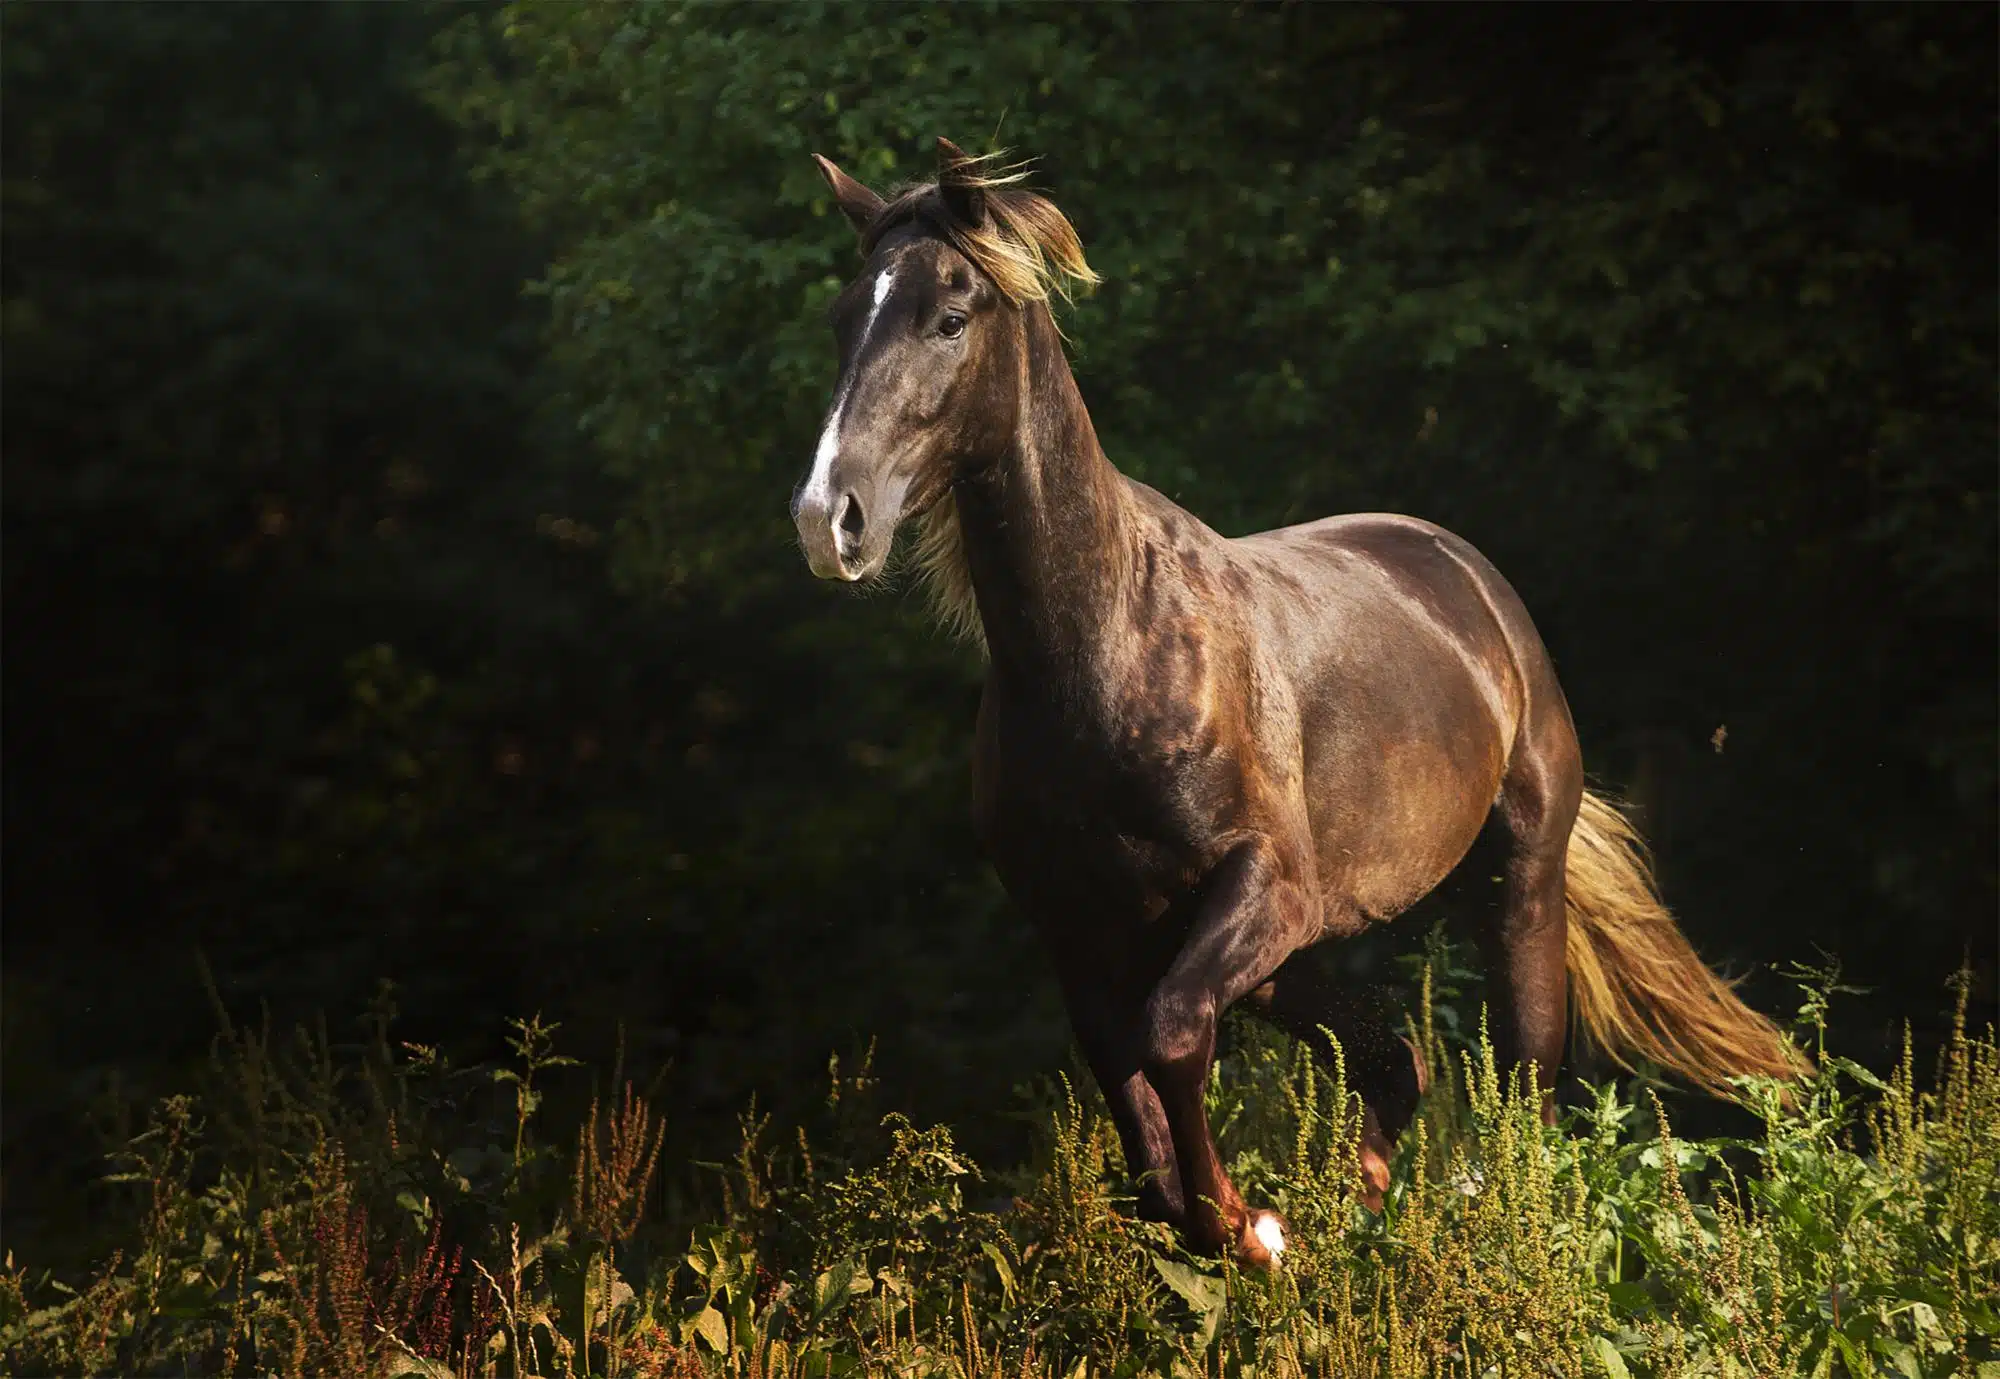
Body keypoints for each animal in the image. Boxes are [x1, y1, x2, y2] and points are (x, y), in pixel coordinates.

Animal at [788, 139, 1808, 1271]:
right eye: (843, 316)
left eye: (950, 317)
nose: (829, 519)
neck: (1102, 651)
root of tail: (1467, 575)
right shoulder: (1085, 933)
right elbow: (1140, 1117)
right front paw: (1238, 1226)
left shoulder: (1262, 887)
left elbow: (1173, 1036)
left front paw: (1252, 1225)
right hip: (1301, 950)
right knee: (1394, 1058)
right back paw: (1371, 1218)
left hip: (1511, 891)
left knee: (1524, 1091)